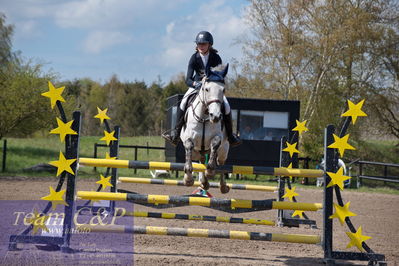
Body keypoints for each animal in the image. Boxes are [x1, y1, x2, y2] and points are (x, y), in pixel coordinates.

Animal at [181, 64, 231, 193]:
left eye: (223, 90)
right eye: (206, 89)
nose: (216, 116)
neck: (204, 116)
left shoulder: (217, 137)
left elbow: (215, 144)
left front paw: (210, 170)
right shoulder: (189, 137)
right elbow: (188, 148)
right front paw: (188, 179)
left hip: (224, 150)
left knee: (221, 164)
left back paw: (222, 186)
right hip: (198, 152)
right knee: (200, 160)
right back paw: (203, 183)